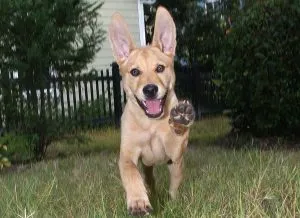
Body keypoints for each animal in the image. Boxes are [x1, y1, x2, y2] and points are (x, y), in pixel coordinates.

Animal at [109, 6, 196, 216]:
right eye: (134, 72)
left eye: (160, 68)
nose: (150, 90)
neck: (151, 123)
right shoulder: (127, 154)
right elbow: (131, 173)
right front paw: (138, 202)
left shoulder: (174, 152)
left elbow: (175, 139)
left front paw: (181, 118)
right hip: (147, 166)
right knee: (149, 179)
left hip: (177, 166)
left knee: (174, 185)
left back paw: (173, 203)